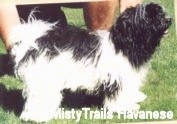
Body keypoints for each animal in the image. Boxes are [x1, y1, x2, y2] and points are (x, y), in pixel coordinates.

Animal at [8, 2, 171, 122]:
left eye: (161, 12)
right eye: (150, 17)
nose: (169, 19)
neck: (123, 44)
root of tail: (34, 40)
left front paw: (135, 98)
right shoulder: (117, 78)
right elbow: (118, 96)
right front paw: (124, 107)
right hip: (45, 78)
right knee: (39, 97)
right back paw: (36, 117)